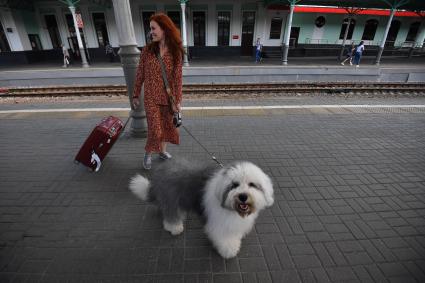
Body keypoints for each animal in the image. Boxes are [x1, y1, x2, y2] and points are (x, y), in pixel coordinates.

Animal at [129, 160, 274, 260]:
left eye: (252, 184)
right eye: (234, 185)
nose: (243, 196)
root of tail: (160, 170)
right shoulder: (219, 224)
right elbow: (224, 238)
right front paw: (229, 250)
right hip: (171, 199)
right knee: (171, 214)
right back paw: (174, 228)